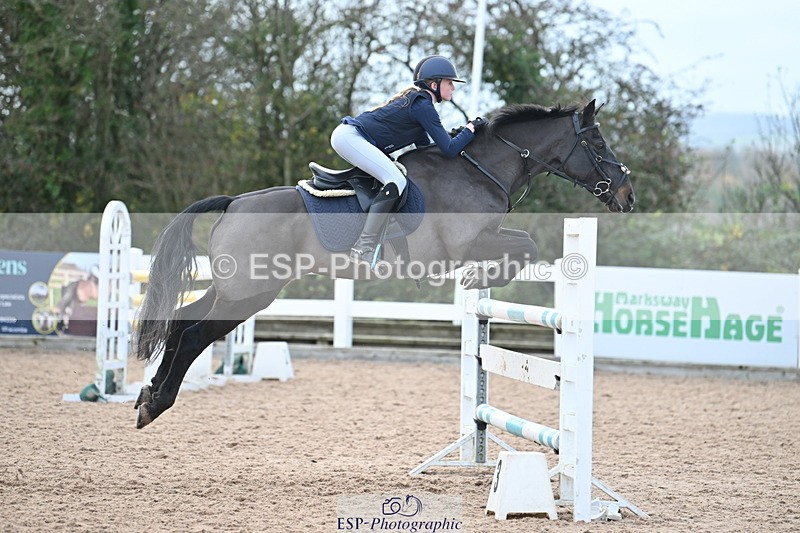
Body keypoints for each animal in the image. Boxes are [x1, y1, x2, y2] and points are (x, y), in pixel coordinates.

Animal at [133, 99, 634, 429]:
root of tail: (234, 202)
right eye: (597, 141)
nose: (628, 197)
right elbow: (524, 246)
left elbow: (523, 244)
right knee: (194, 334)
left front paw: (483, 280)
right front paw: (484, 276)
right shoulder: (465, 244)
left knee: (181, 320)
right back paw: (158, 403)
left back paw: (148, 395)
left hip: (233, 289)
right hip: (251, 294)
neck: (477, 169)